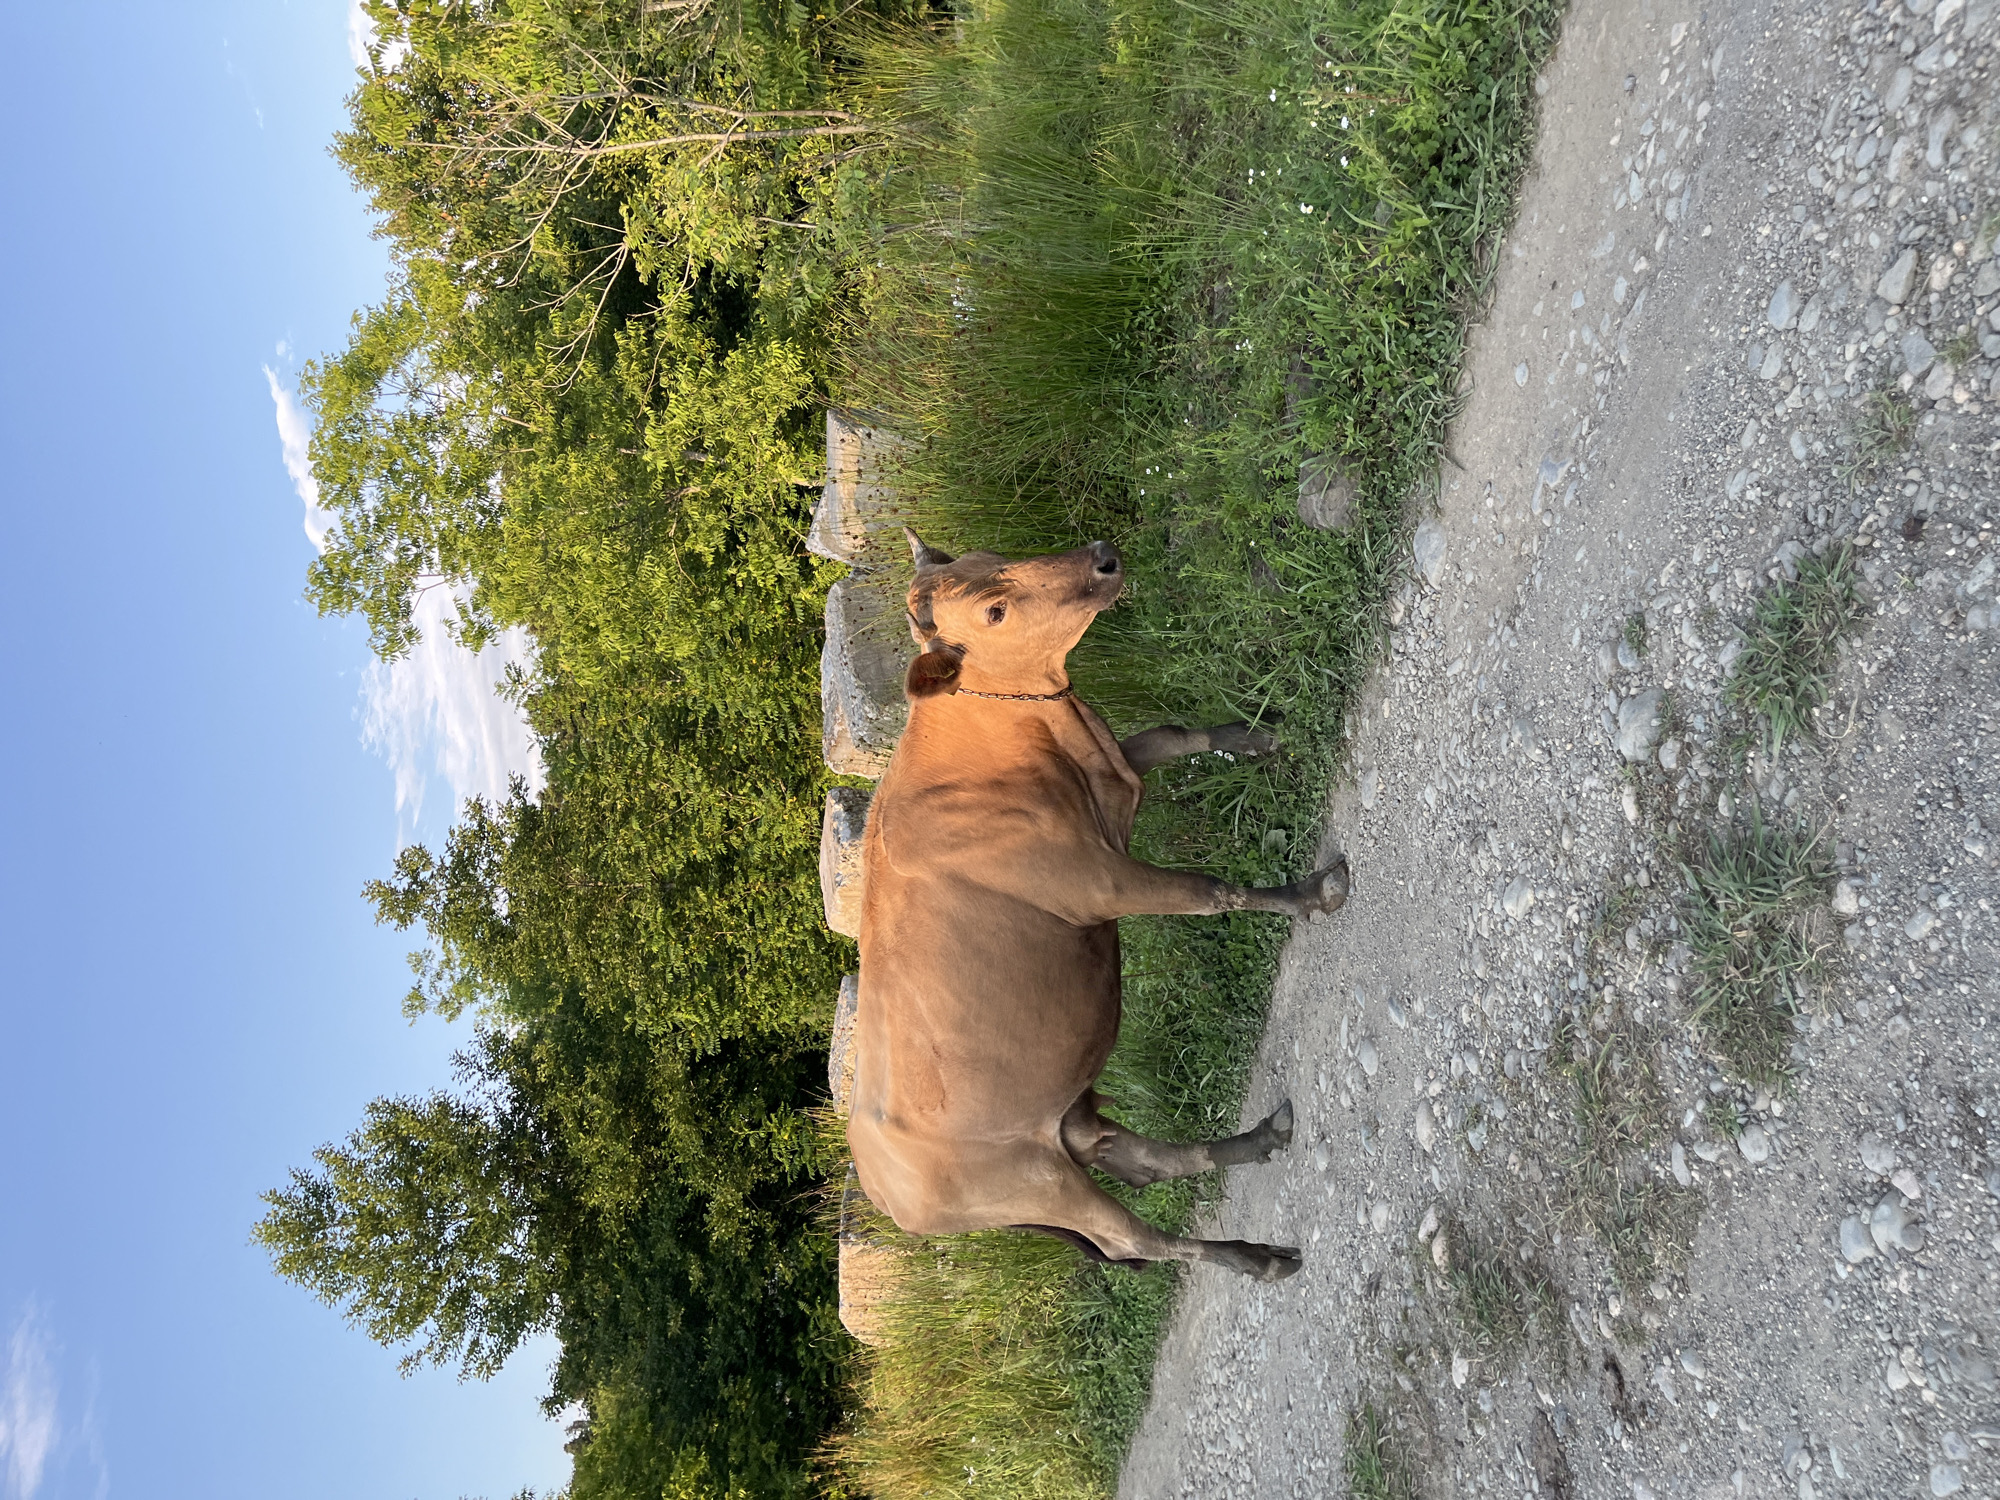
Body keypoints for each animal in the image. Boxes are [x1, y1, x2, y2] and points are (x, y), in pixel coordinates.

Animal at [844, 530, 1350, 1281]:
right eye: (994, 611)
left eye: (993, 558)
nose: (1102, 558)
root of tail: (879, 1189)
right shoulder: (1099, 883)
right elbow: (1209, 891)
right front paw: (1312, 894)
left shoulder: (1115, 780)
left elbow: (1175, 734)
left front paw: (1262, 732)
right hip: (1035, 1181)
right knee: (1136, 1241)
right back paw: (1253, 1258)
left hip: (1064, 1121)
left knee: (1136, 1158)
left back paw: (1257, 1142)